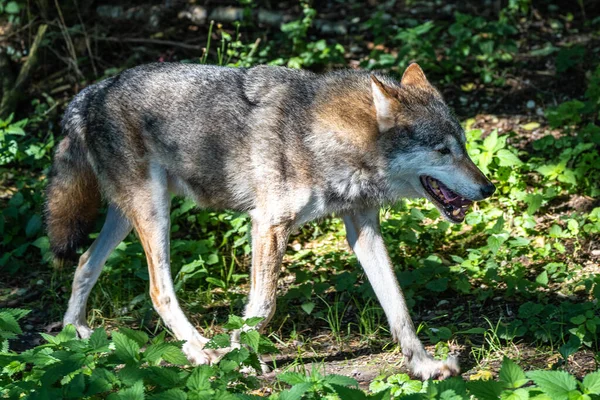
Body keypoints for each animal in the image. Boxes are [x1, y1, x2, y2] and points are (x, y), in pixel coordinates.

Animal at [44, 61, 494, 378]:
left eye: (464, 147)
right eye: (443, 151)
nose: (488, 188)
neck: (328, 139)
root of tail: (91, 92)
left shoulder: (363, 229)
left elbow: (398, 305)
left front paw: (423, 366)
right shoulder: (268, 226)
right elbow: (264, 306)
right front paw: (238, 357)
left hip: (130, 216)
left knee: (83, 262)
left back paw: (73, 334)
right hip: (155, 214)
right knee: (158, 290)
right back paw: (201, 350)